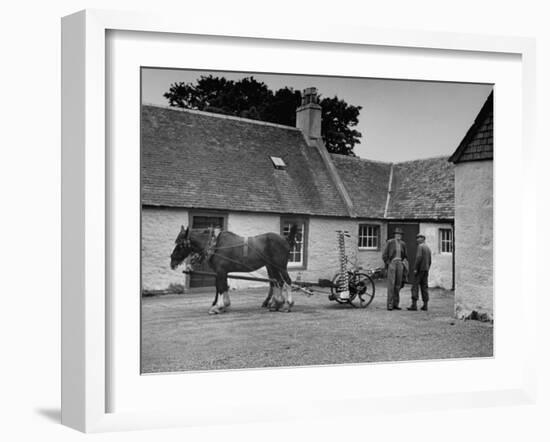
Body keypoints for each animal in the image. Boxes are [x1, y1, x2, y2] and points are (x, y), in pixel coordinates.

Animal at [169, 224, 298, 314]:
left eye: (180, 244)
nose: (172, 260)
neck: (215, 245)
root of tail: (285, 239)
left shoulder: (220, 271)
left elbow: (221, 288)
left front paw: (218, 307)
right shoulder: (223, 272)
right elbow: (223, 287)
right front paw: (224, 305)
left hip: (280, 266)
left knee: (287, 281)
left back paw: (287, 305)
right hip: (272, 266)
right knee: (277, 282)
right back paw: (277, 304)